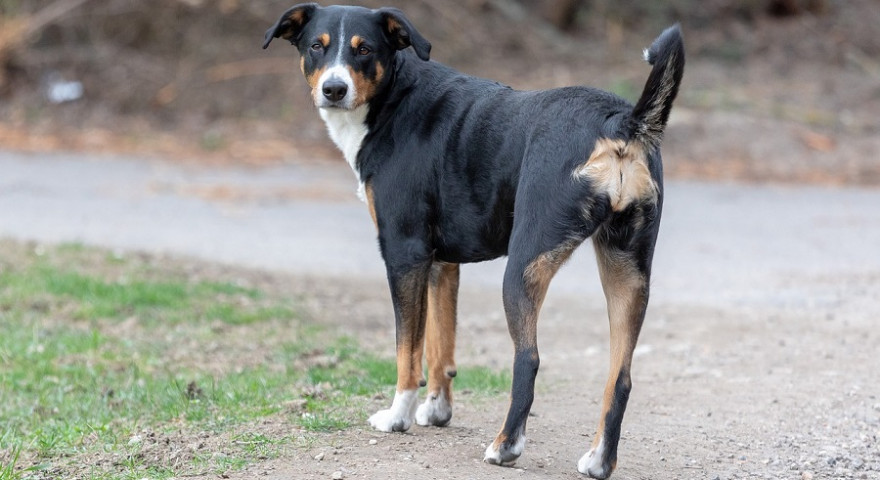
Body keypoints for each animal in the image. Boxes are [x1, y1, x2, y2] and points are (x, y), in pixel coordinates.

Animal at [264, 5, 684, 478]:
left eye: (365, 49)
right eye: (316, 46)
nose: (334, 89)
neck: (395, 99)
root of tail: (621, 122)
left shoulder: (404, 254)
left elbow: (408, 352)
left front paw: (398, 416)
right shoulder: (439, 264)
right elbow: (439, 346)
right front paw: (436, 410)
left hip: (522, 269)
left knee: (528, 360)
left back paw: (506, 446)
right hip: (627, 273)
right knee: (621, 377)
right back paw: (598, 460)